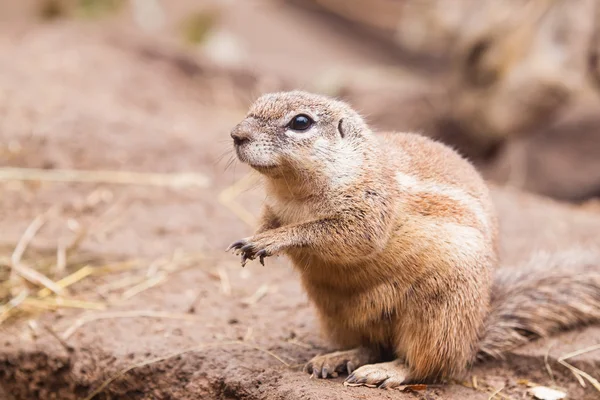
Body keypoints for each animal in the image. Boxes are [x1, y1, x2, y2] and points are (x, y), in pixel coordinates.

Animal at [226, 90, 600, 388]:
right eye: (254, 105)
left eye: (301, 122)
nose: (236, 134)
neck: (296, 194)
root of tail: (472, 336)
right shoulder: (274, 208)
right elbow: (267, 221)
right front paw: (254, 238)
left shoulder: (370, 210)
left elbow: (340, 235)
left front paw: (273, 240)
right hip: (334, 314)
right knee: (372, 345)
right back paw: (337, 358)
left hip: (437, 315)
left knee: (426, 365)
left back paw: (385, 371)